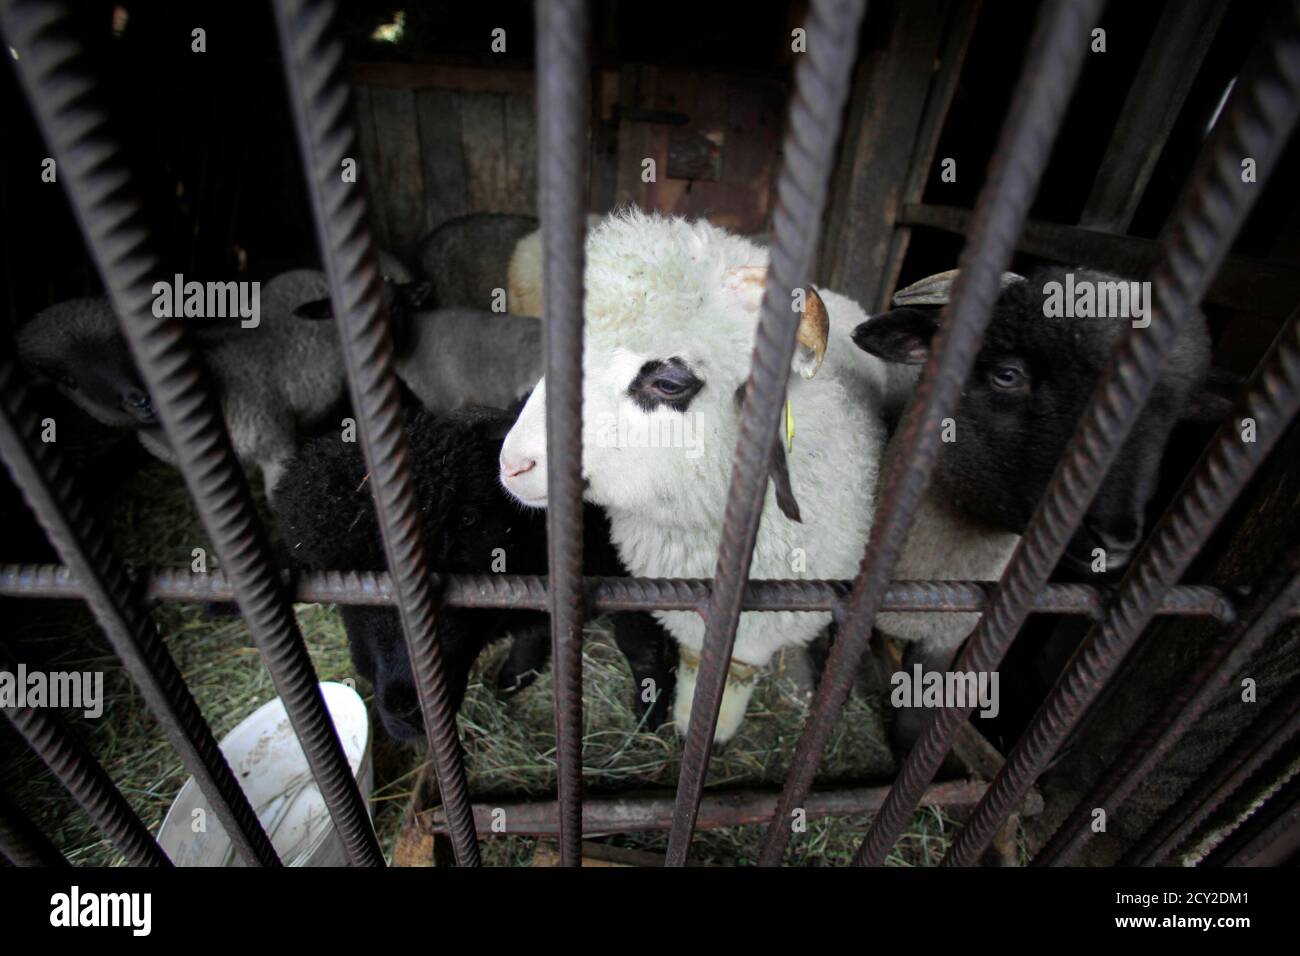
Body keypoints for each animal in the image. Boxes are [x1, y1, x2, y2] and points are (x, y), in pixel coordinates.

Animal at [273, 404, 676, 740]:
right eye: (334, 576)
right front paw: (516, 674)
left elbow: (639, 645)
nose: (409, 711)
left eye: (468, 519)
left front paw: (650, 707)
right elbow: (533, 628)